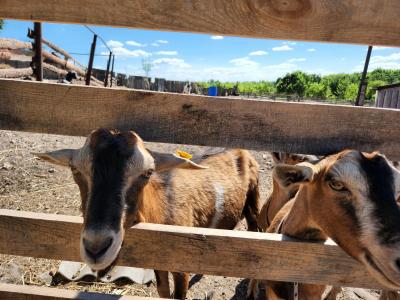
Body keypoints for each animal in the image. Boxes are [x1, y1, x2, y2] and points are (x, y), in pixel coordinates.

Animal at [33, 127, 260, 298]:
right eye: (75, 170)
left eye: (148, 172)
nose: (96, 247)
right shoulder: (156, 261)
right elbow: (163, 290)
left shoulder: (181, 266)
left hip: (254, 203)